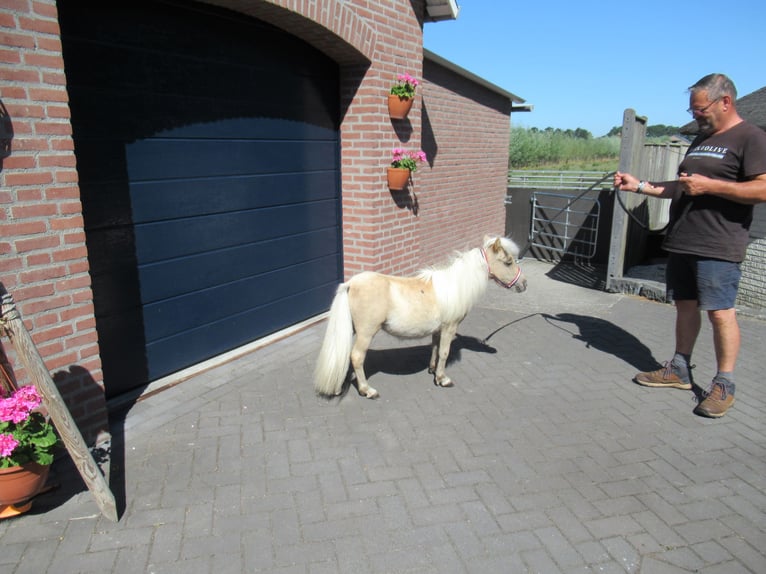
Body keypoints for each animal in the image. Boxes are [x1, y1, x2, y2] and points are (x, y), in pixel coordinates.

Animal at [313, 235, 527, 399]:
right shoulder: (449, 327)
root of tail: (350, 284)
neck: (455, 286)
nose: (524, 284)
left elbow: (435, 349)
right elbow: (444, 352)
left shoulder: (438, 330)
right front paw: (443, 379)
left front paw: (433, 370)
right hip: (366, 333)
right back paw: (367, 390)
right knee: (357, 357)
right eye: (508, 262)